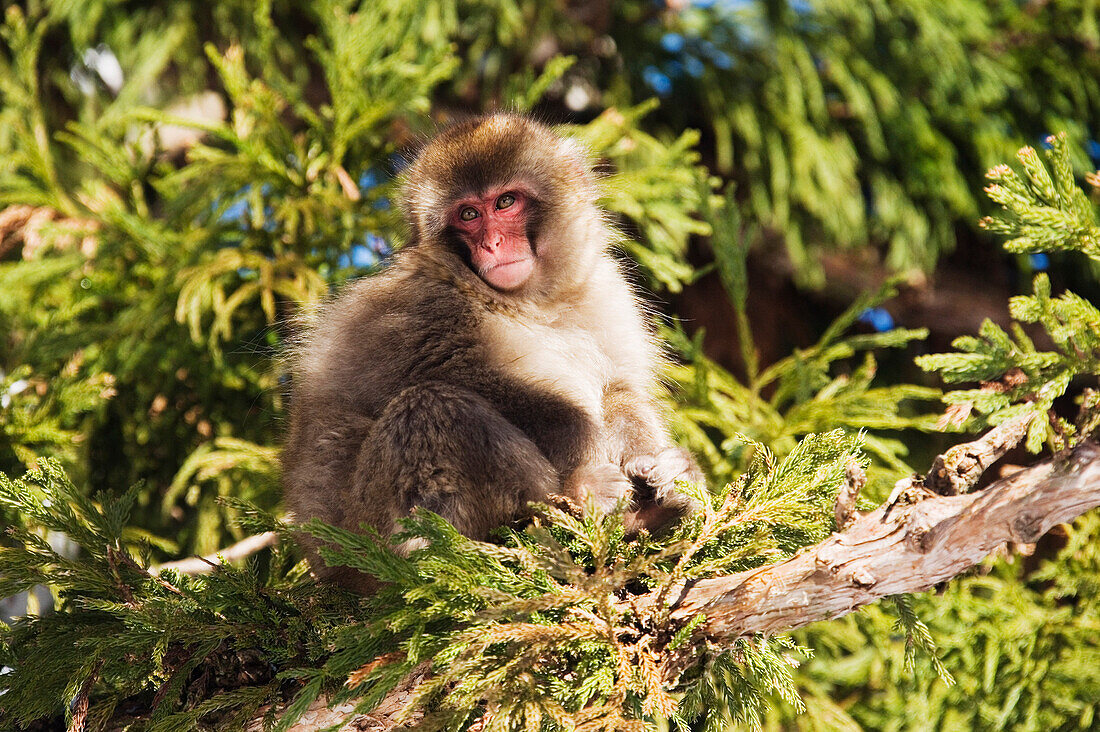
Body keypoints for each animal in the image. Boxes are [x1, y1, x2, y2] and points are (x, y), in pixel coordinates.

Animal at [279, 115, 699, 594]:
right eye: (468, 215)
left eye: (505, 202)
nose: (494, 243)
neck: (531, 302)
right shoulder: (419, 306)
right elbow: (471, 380)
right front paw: (586, 473)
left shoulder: (605, 291)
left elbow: (620, 389)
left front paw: (668, 474)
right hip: (366, 533)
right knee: (430, 408)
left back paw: (649, 515)